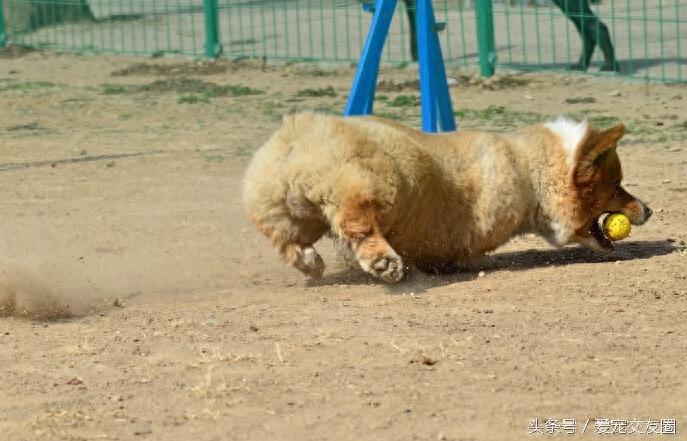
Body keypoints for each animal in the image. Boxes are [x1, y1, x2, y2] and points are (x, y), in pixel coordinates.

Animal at [245, 111, 652, 280]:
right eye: (617, 186)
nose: (648, 210)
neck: (528, 171)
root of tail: (300, 141)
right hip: (374, 188)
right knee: (358, 225)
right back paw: (384, 263)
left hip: (289, 210)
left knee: (281, 236)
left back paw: (309, 261)